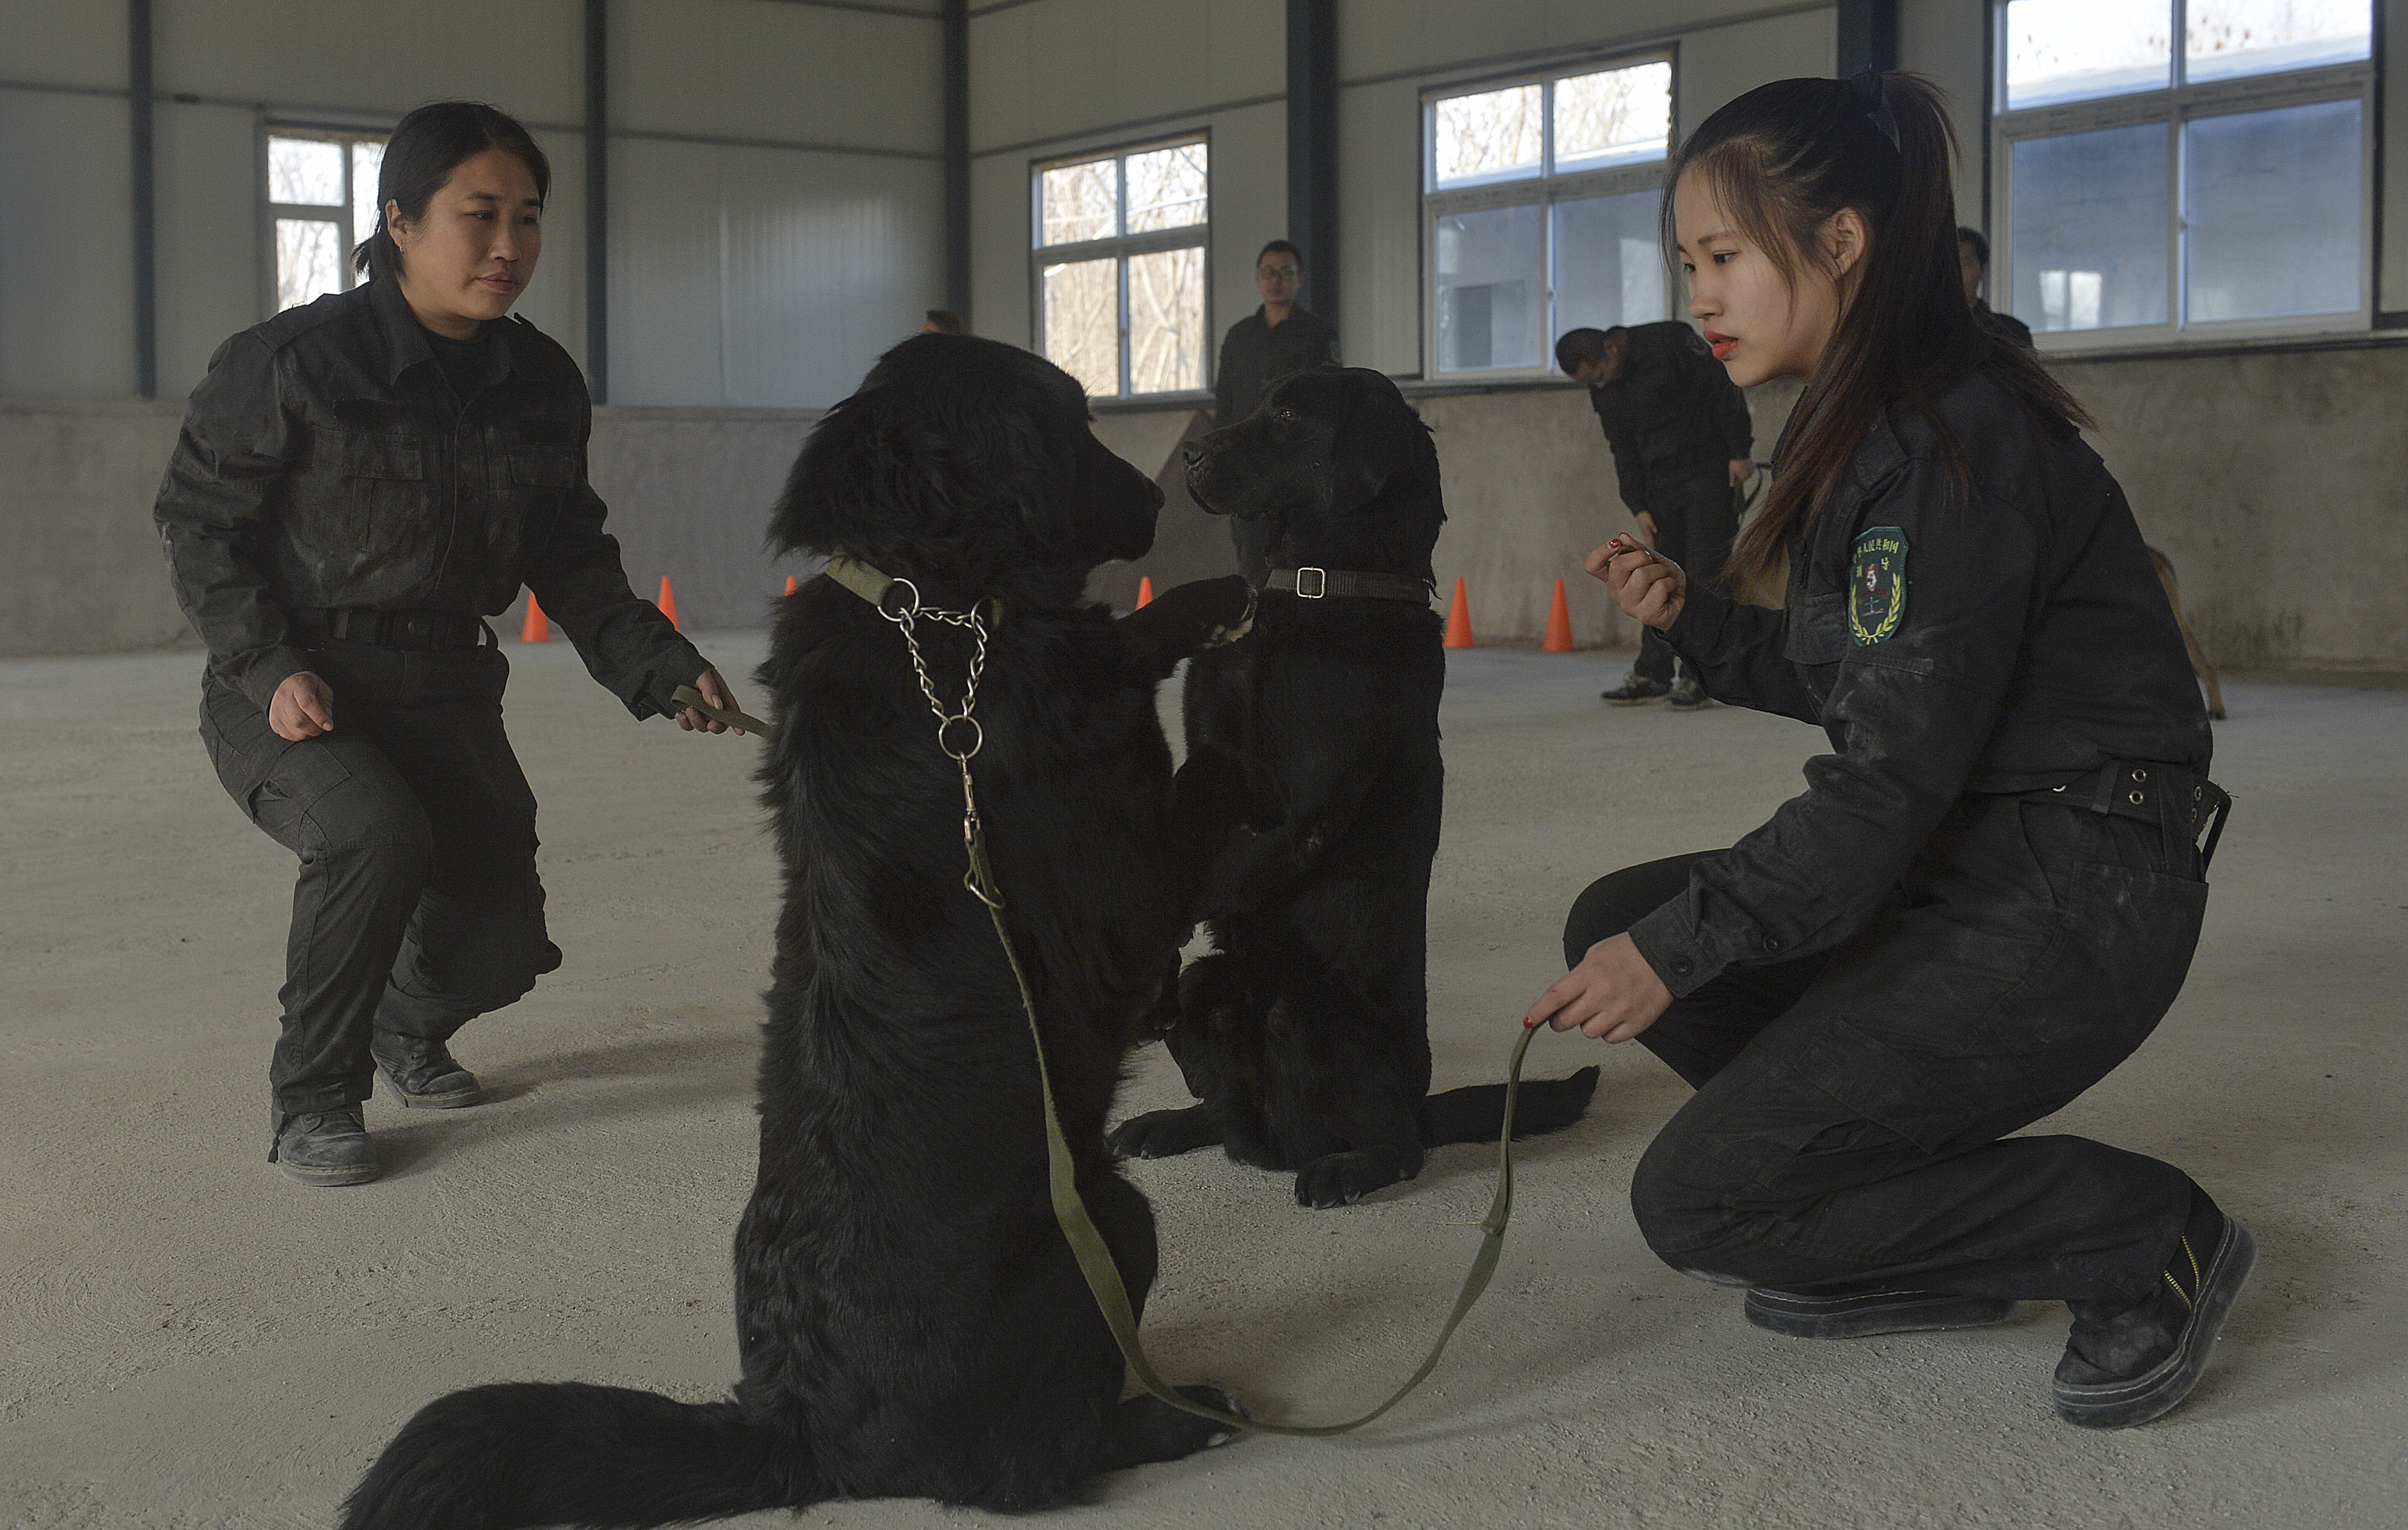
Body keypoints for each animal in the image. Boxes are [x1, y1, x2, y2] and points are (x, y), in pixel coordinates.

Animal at [348, 332, 1281, 1520]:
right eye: (1068, 419)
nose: (1164, 494)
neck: (933, 613)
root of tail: (796, 1426)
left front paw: (1206, 603)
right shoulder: (1119, 911)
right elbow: (1202, 773)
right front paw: (1227, 668)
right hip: (1112, 1221)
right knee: (1044, 1460)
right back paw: (1185, 1414)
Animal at [1108, 367, 1599, 1207]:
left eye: (1286, 413)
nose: (1192, 455)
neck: (1320, 588)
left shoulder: (1304, 809)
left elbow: (1218, 869)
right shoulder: (1212, 748)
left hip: (1309, 1014)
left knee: (1394, 1146)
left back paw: (1348, 1167)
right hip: (1207, 993)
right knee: (1237, 1128)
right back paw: (1173, 1124)